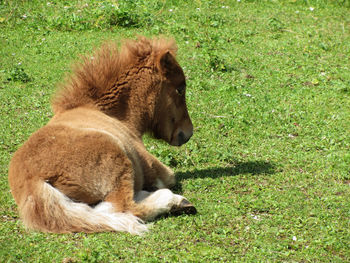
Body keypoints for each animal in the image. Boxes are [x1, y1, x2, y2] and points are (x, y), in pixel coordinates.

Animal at [8, 36, 196, 235]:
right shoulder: (155, 167)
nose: (187, 132)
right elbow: (168, 178)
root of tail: (32, 181)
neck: (108, 112)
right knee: (124, 207)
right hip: (118, 162)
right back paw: (175, 201)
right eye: (180, 89)